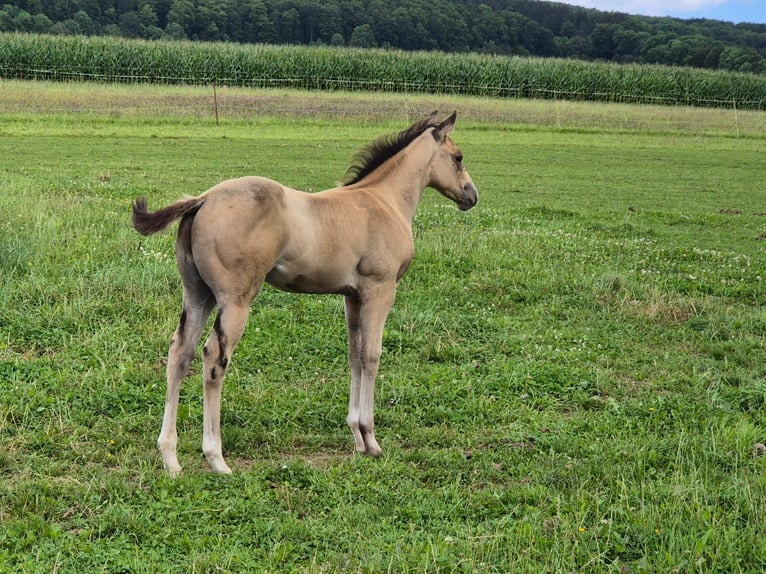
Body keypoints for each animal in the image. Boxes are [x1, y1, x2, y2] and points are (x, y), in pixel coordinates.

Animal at [135, 112, 476, 476]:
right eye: (458, 158)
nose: (472, 196)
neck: (383, 201)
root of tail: (203, 199)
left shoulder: (352, 296)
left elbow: (354, 355)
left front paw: (357, 437)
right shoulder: (379, 290)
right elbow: (371, 356)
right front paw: (371, 440)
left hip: (198, 294)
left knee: (179, 352)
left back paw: (170, 457)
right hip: (235, 300)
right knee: (214, 358)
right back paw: (216, 458)